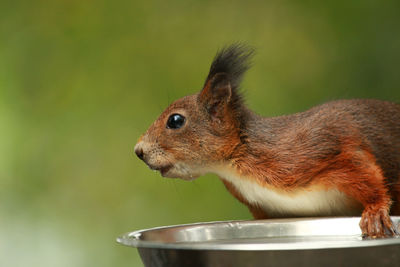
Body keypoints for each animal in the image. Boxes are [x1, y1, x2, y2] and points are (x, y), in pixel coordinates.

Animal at [134, 43, 400, 239]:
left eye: (176, 120)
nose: (139, 151)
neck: (236, 165)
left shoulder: (326, 145)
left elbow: (364, 170)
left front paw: (375, 211)